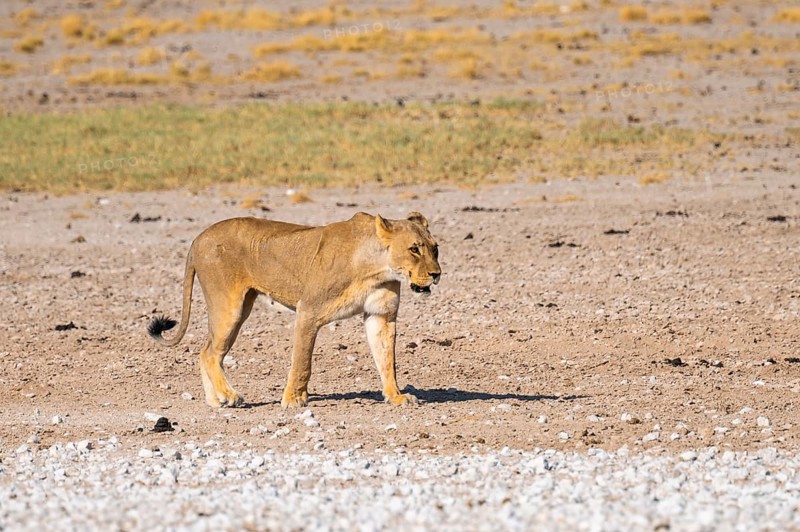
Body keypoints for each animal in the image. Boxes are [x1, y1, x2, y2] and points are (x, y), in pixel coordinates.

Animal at [148, 211, 441, 409]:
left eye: (435, 248)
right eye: (414, 249)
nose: (437, 274)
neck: (376, 267)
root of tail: (198, 238)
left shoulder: (381, 314)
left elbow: (386, 359)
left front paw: (396, 396)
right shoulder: (308, 310)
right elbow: (302, 361)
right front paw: (293, 399)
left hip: (240, 307)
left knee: (206, 351)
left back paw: (215, 400)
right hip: (229, 307)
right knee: (210, 353)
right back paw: (230, 396)